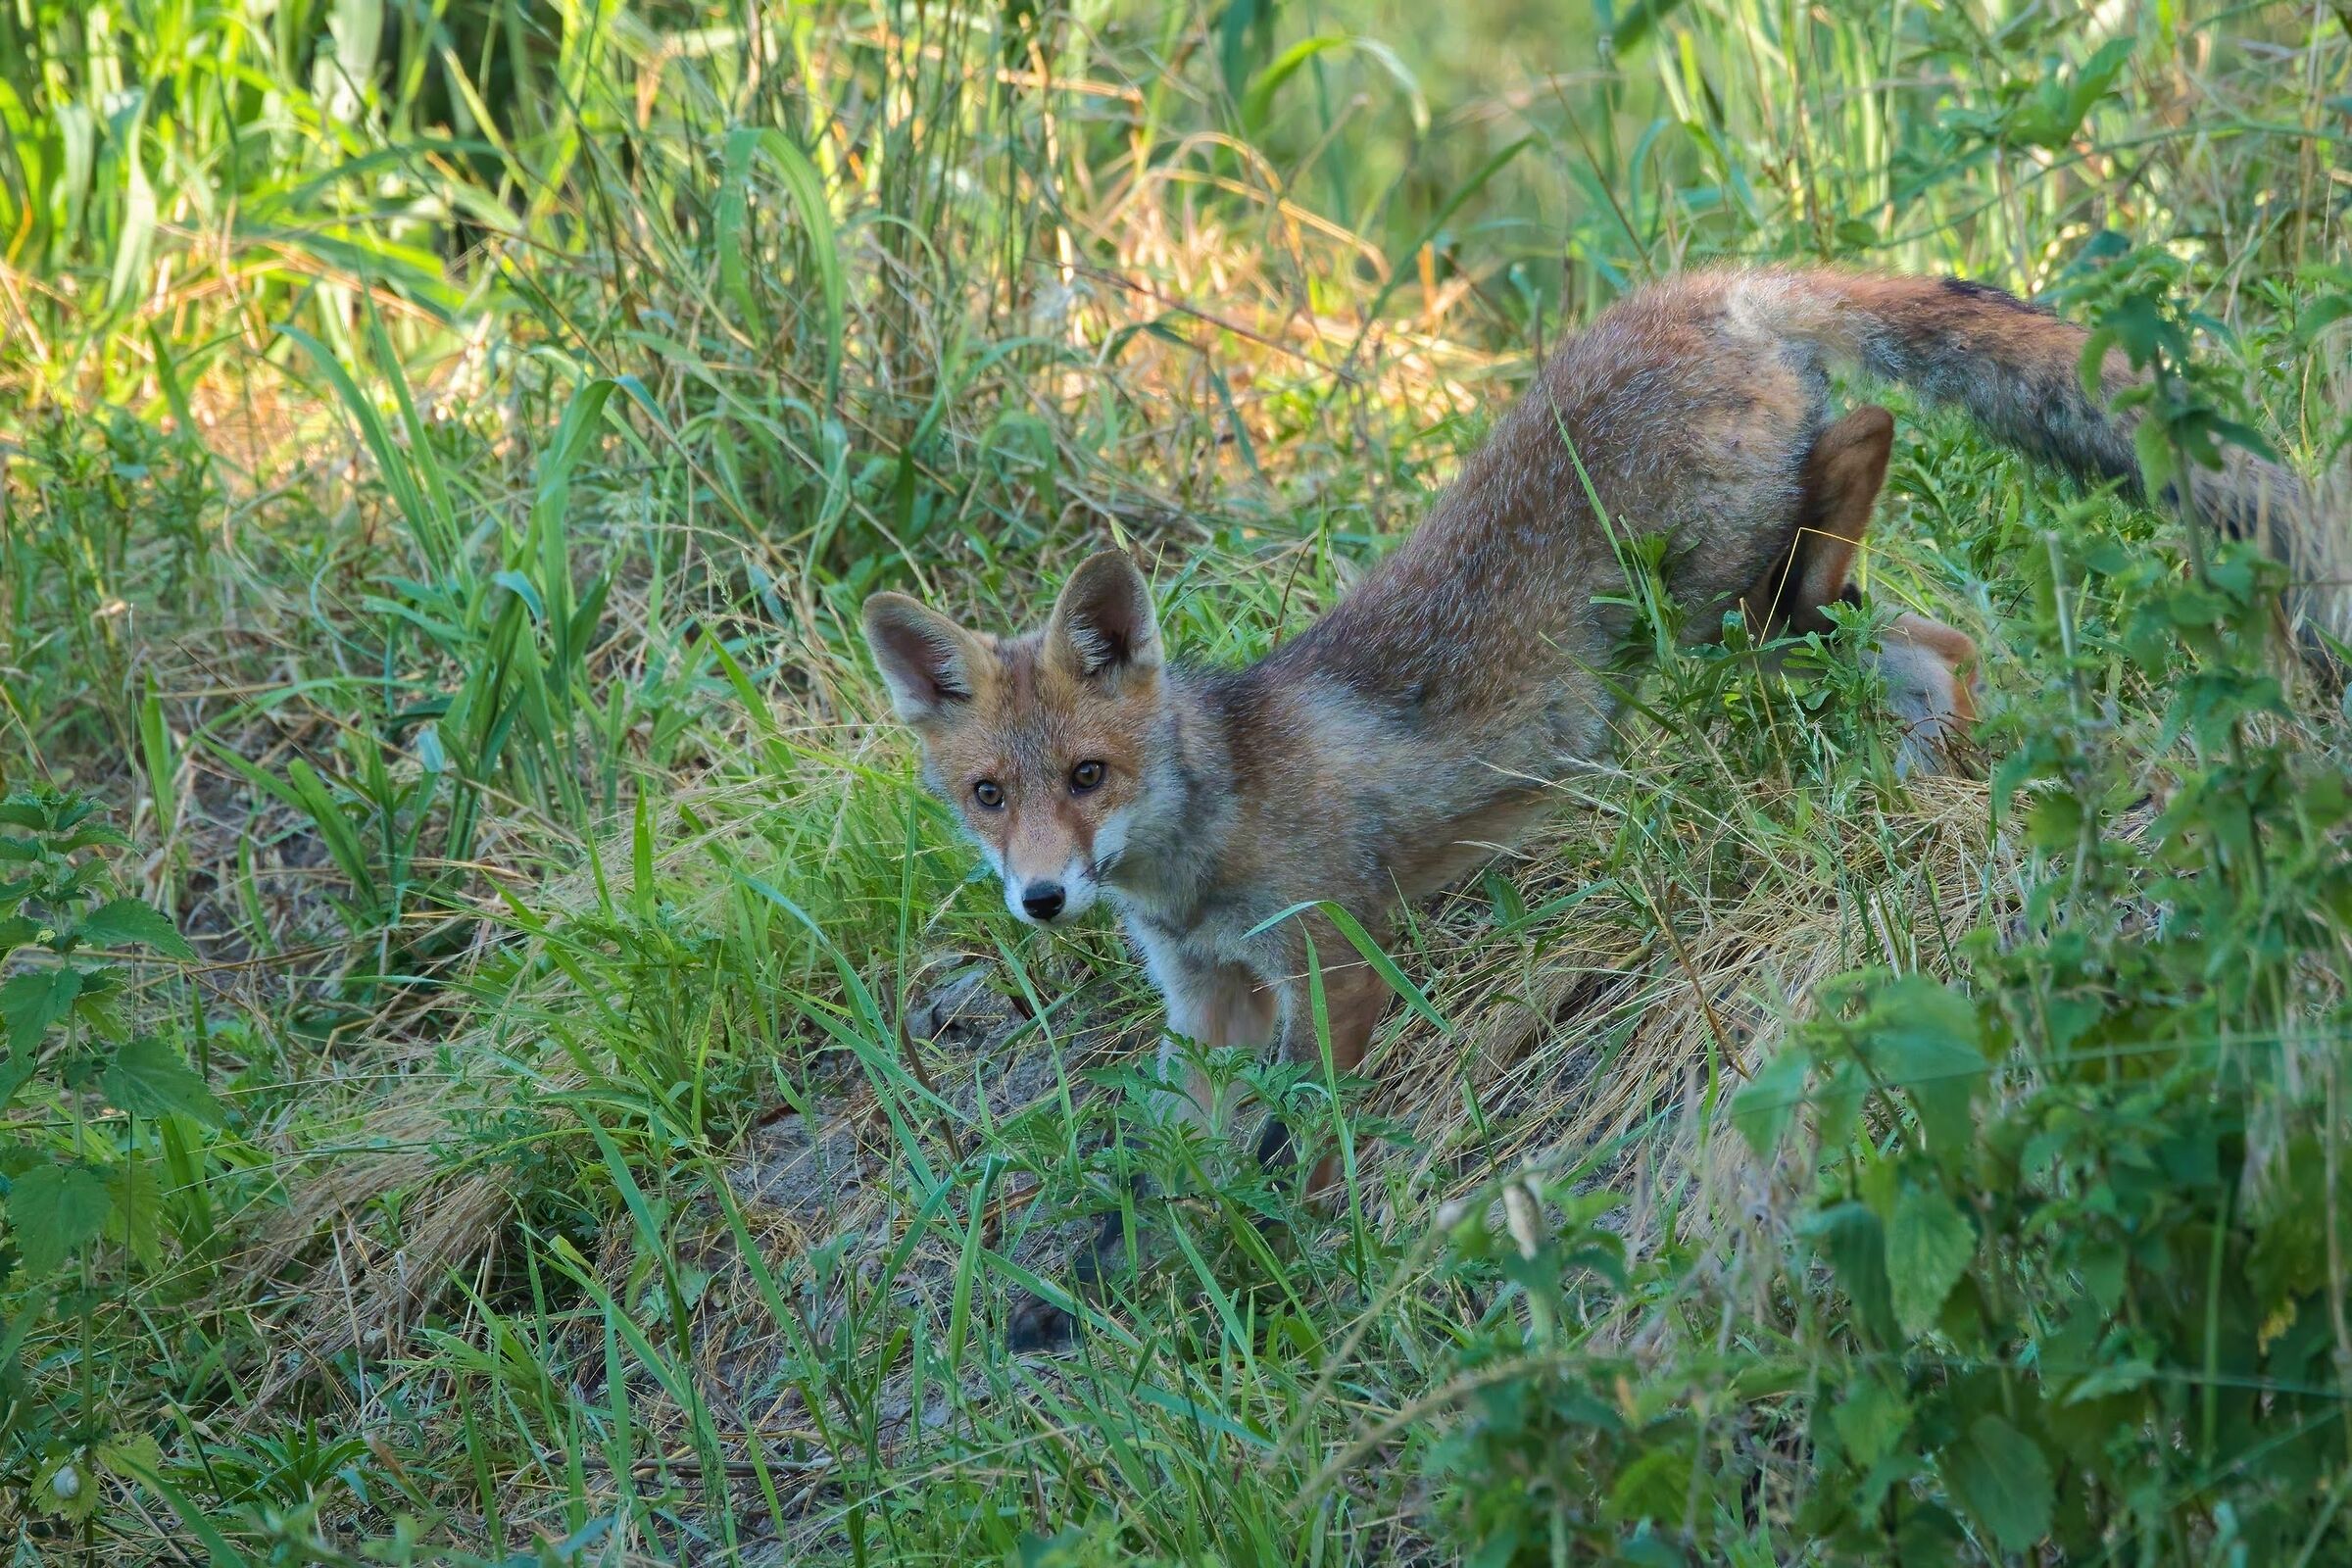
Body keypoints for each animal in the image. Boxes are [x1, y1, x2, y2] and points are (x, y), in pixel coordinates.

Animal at [862, 266, 2331, 1223]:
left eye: (1088, 776)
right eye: (988, 794)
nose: (1042, 898)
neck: (1203, 844)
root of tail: (1708, 282)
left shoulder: (1337, 966)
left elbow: (1307, 1134)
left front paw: (1290, 1245)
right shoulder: (1208, 1002)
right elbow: (1176, 1150)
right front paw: (1139, 1265)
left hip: (1707, 596)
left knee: (1861, 450)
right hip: (1767, 625)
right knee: (1927, 639)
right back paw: (1930, 780)